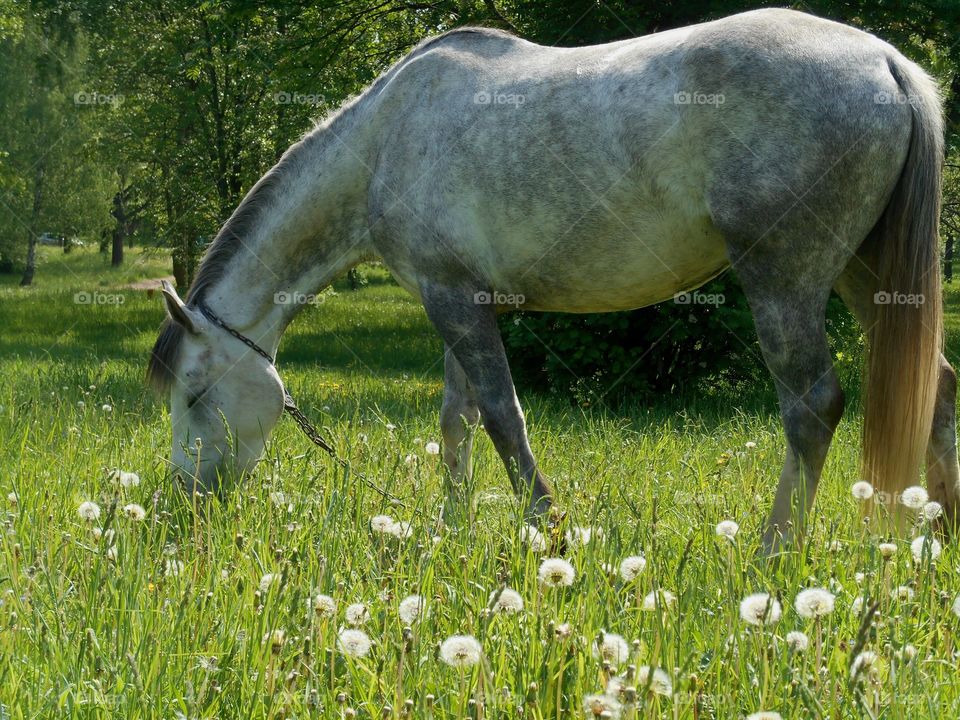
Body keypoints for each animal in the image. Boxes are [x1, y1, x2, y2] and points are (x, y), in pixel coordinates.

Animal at [147, 8, 956, 552]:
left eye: (195, 393)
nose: (186, 502)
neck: (384, 140)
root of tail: (886, 62)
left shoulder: (455, 304)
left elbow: (504, 419)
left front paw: (549, 534)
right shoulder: (459, 302)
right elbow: (457, 421)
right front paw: (453, 532)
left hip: (784, 281)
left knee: (813, 406)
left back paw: (772, 553)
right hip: (864, 274)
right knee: (939, 387)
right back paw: (937, 538)